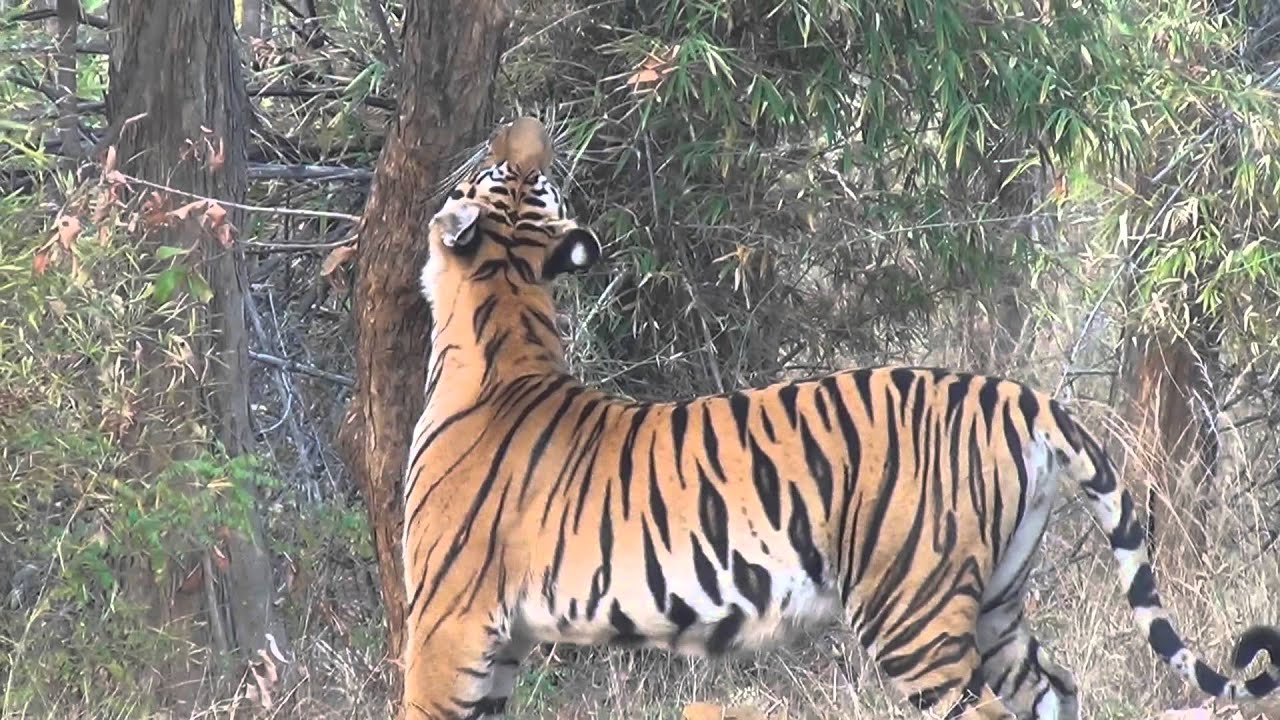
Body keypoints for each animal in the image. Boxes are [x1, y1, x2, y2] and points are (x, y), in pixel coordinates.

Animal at [400, 116, 1280, 720]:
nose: (525, 133)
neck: (507, 318)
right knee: (1055, 687)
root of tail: (1017, 394)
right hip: (997, 603)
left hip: (913, 613)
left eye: (495, 168)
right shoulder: (501, 638)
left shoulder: (447, 623)